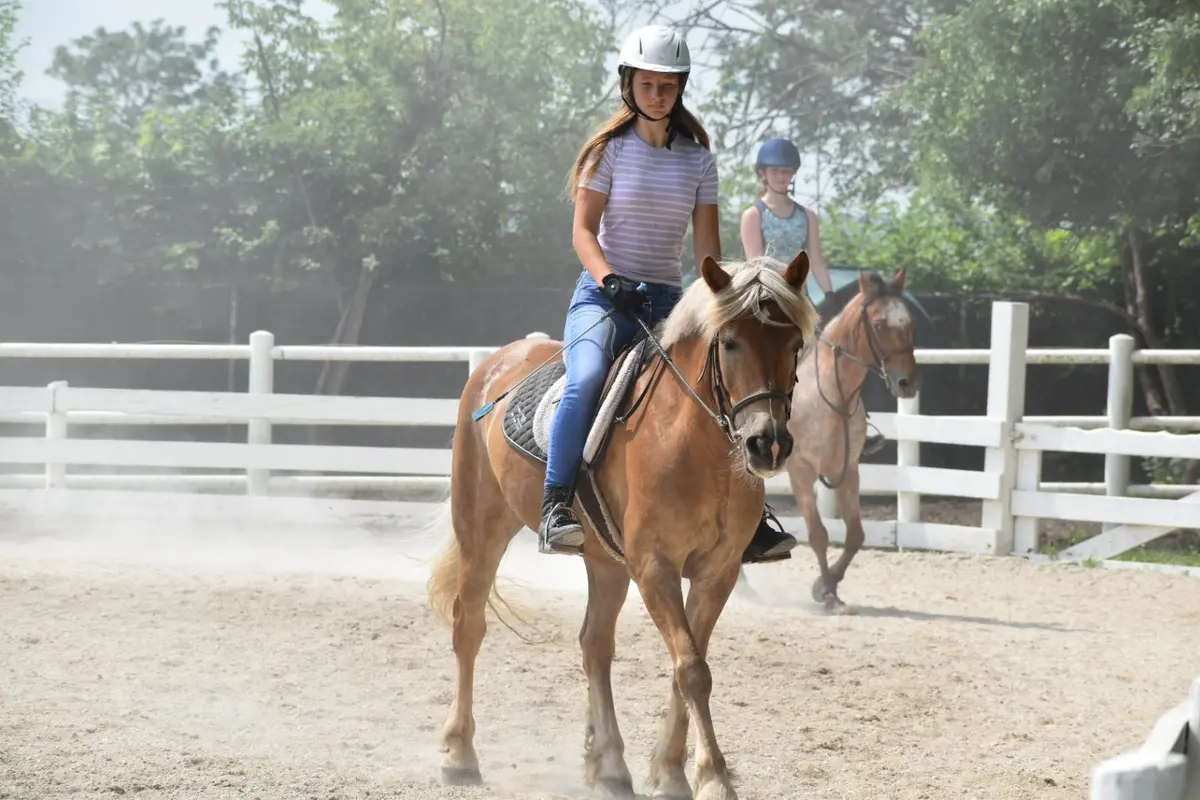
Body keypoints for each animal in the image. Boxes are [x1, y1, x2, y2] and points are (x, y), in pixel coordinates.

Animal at [425, 251, 819, 800]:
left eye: (795, 345)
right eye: (730, 342)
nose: (769, 444)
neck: (695, 445)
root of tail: (496, 363)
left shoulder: (716, 573)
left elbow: (687, 665)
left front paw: (672, 770)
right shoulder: (654, 567)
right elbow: (692, 668)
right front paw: (712, 777)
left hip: (604, 562)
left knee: (594, 644)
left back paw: (609, 765)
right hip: (481, 527)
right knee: (469, 624)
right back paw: (460, 754)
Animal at [781, 267, 921, 612]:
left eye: (909, 322)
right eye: (879, 324)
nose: (907, 383)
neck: (831, 395)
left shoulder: (846, 470)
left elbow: (856, 535)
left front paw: (824, 586)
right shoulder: (801, 471)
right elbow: (818, 534)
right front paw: (829, 595)